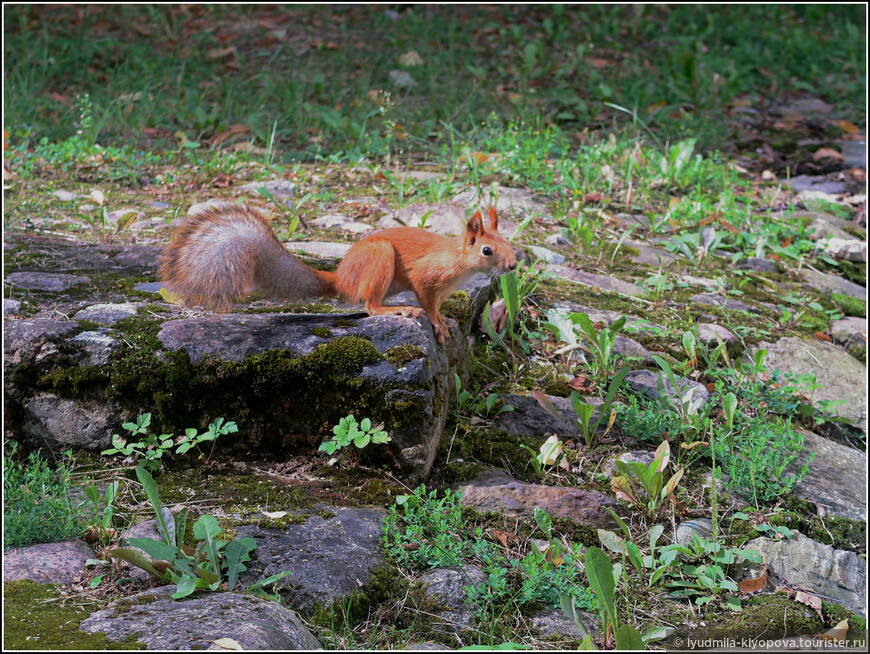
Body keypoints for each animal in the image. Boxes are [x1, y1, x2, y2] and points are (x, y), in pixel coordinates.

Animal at [160, 201, 516, 344]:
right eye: (487, 250)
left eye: (508, 242)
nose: (513, 265)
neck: (459, 261)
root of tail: (341, 277)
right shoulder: (427, 278)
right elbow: (427, 302)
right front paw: (438, 324)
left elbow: (439, 305)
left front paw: (445, 319)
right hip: (379, 258)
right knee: (369, 305)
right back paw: (396, 309)